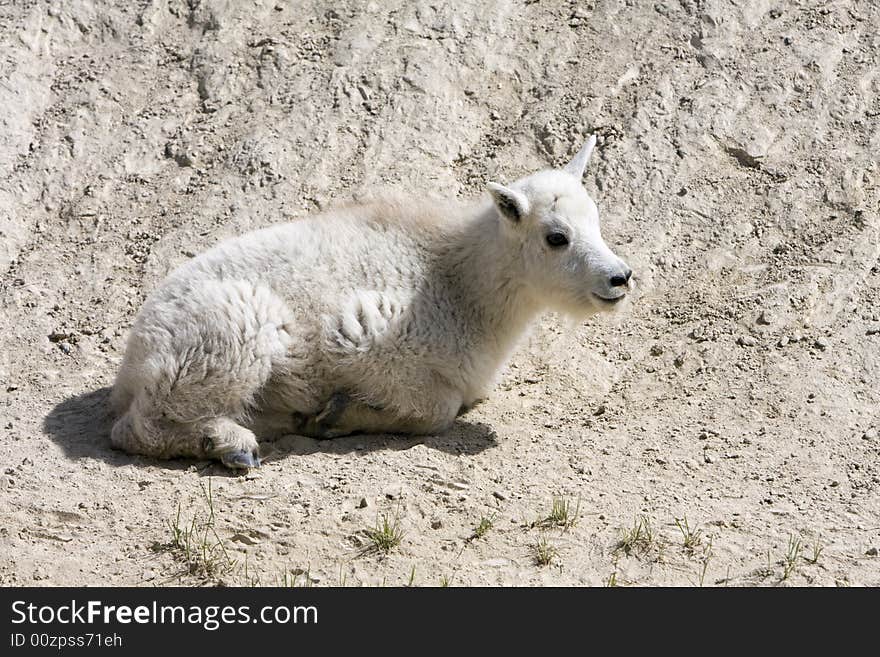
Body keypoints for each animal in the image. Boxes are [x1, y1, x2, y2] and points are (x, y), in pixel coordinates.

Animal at [110, 137, 632, 466]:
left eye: (596, 219)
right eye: (556, 237)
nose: (620, 278)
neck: (463, 286)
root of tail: (131, 364)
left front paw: (325, 416)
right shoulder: (363, 343)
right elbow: (437, 409)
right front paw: (336, 415)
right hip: (225, 336)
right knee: (139, 427)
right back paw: (232, 445)